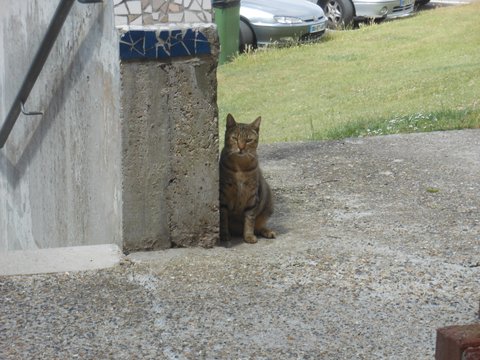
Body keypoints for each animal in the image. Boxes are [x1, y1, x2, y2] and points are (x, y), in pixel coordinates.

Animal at [219, 114, 276, 243]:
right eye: (235, 138)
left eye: (248, 140)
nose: (241, 148)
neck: (240, 167)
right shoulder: (224, 194)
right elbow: (223, 217)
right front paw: (224, 235)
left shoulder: (252, 196)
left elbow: (250, 219)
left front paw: (248, 236)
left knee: (258, 226)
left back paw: (267, 231)